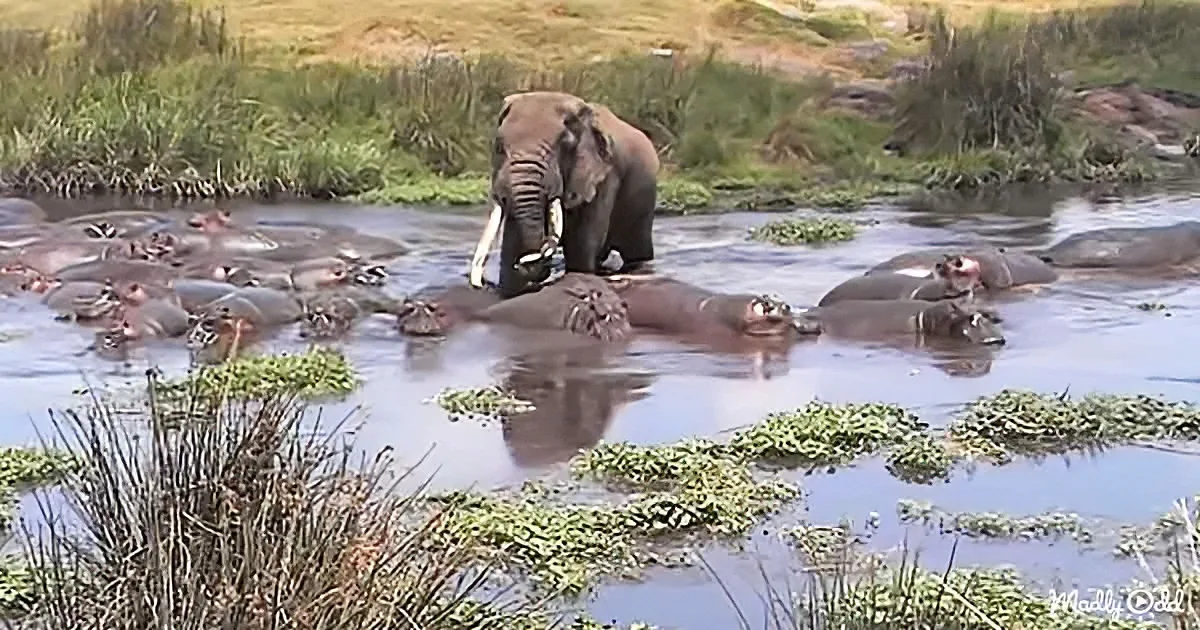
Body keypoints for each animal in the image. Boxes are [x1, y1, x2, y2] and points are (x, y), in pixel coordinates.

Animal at [468, 91, 660, 298]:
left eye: (563, 146)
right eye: (499, 148)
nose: (529, 263)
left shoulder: (606, 174)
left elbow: (582, 244)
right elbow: (512, 242)